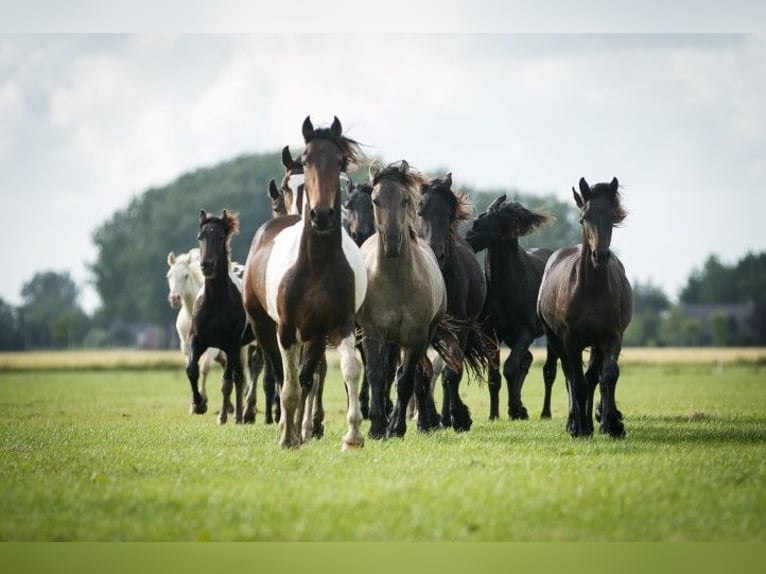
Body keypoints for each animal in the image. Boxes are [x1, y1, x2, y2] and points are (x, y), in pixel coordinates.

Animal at [187, 209, 256, 426]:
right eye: (200, 237)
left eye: (220, 237)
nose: (206, 265)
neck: (217, 302)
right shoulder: (197, 340)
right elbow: (191, 369)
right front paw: (199, 404)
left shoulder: (231, 344)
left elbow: (226, 382)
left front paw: (222, 416)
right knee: (239, 377)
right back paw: (239, 415)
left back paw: (242, 415)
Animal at [243, 117, 368, 450]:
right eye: (307, 160)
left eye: (339, 161)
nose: (321, 215)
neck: (317, 265)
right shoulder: (286, 330)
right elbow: (289, 384)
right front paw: (289, 436)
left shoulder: (337, 325)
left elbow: (342, 372)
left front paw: (352, 436)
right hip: (263, 325)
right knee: (278, 373)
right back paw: (287, 427)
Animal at [358, 162, 452, 440]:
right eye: (375, 200)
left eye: (405, 200)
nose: (391, 242)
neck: (396, 282)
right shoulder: (372, 333)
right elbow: (377, 375)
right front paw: (376, 427)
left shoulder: (417, 337)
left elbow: (406, 379)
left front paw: (396, 428)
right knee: (388, 373)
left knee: (407, 374)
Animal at [464, 198, 560, 424]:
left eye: (482, 220)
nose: (467, 240)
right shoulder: (492, 334)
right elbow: (495, 375)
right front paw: (495, 414)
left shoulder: (525, 332)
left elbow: (510, 368)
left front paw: (517, 408)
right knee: (527, 361)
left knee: (548, 371)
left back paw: (545, 412)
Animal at [536, 178, 632, 438]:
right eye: (583, 218)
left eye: (612, 217)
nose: (600, 255)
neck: (591, 290)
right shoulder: (570, 340)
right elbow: (576, 380)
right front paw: (578, 427)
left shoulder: (611, 336)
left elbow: (607, 376)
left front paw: (610, 424)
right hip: (556, 339)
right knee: (570, 376)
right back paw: (575, 422)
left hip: (595, 344)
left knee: (592, 377)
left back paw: (591, 421)